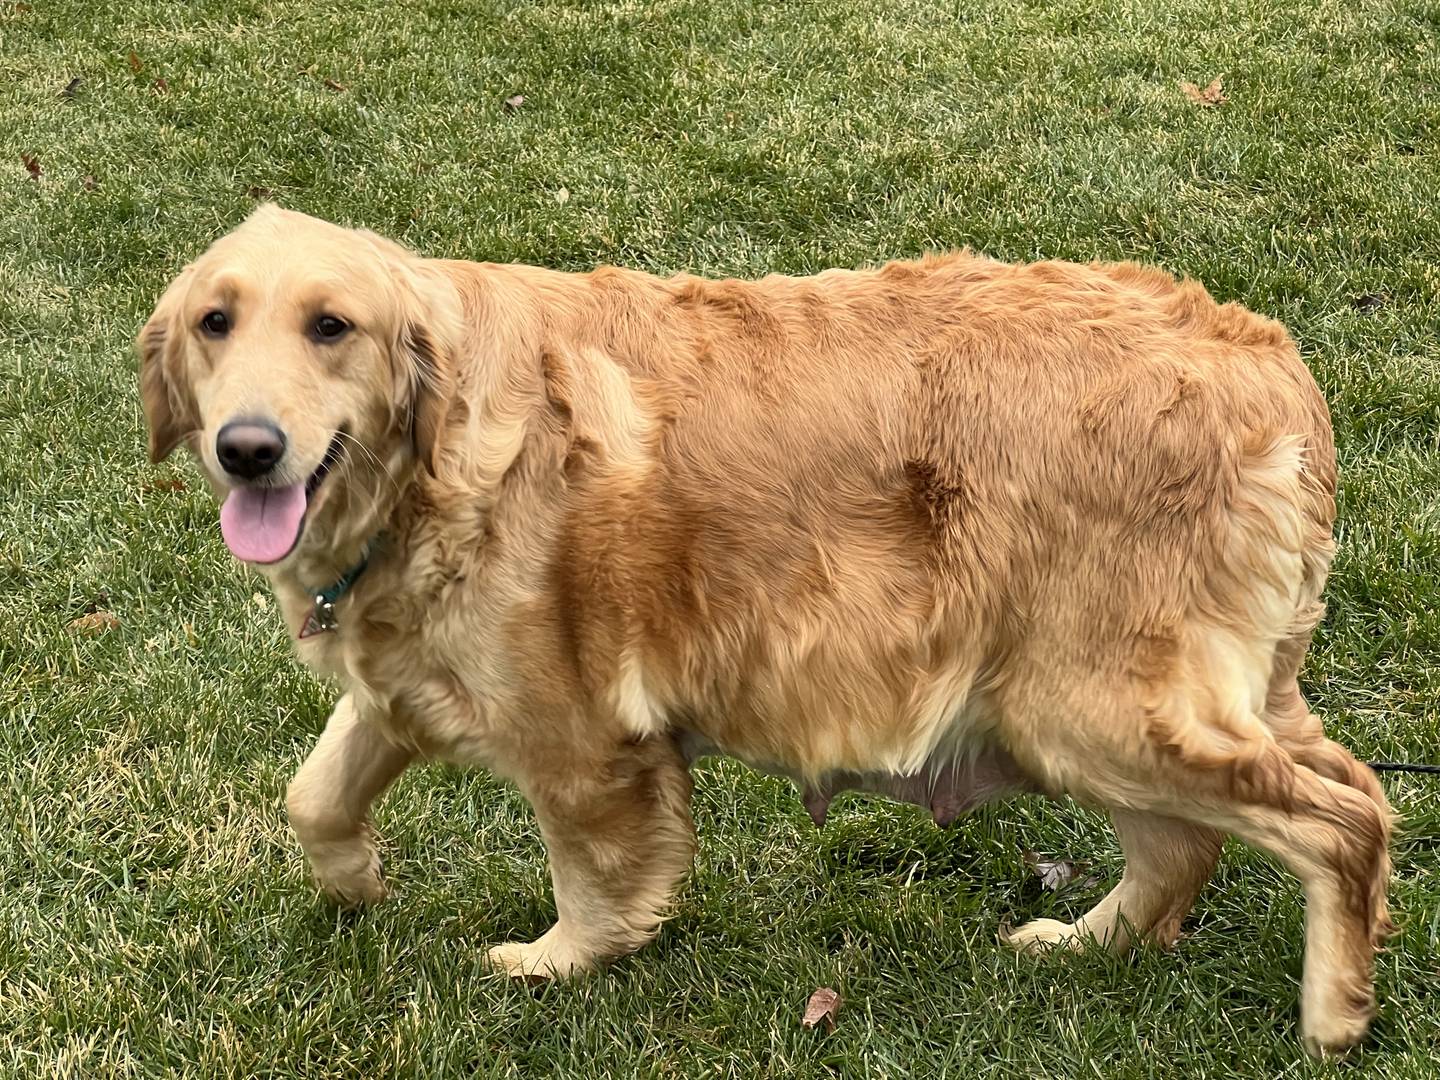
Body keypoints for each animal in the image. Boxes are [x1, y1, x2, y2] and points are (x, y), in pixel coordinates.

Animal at [140, 203, 1388, 1059]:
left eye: (331, 327)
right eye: (215, 322)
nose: (247, 449)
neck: (429, 463)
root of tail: (1269, 365)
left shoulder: (578, 739)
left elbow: (593, 877)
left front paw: (560, 962)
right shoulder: (405, 673)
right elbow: (314, 792)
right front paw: (354, 883)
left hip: (1092, 711)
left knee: (1345, 819)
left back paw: (1333, 1014)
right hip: (1103, 711)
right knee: (1210, 838)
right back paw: (1087, 943)